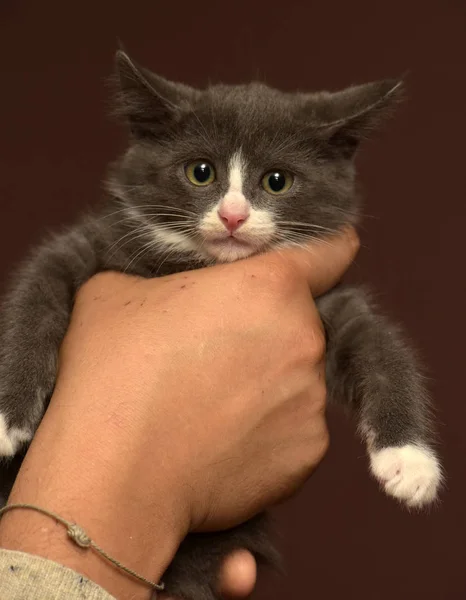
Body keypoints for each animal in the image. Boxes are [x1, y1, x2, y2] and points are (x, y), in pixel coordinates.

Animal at [0, 51, 440, 600]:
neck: (205, 265)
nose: (233, 216)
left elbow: (382, 351)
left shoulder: (331, 304)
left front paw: (411, 462)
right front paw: (9, 418)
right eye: (200, 172)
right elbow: (34, 298)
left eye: (277, 181)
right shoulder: (86, 245)